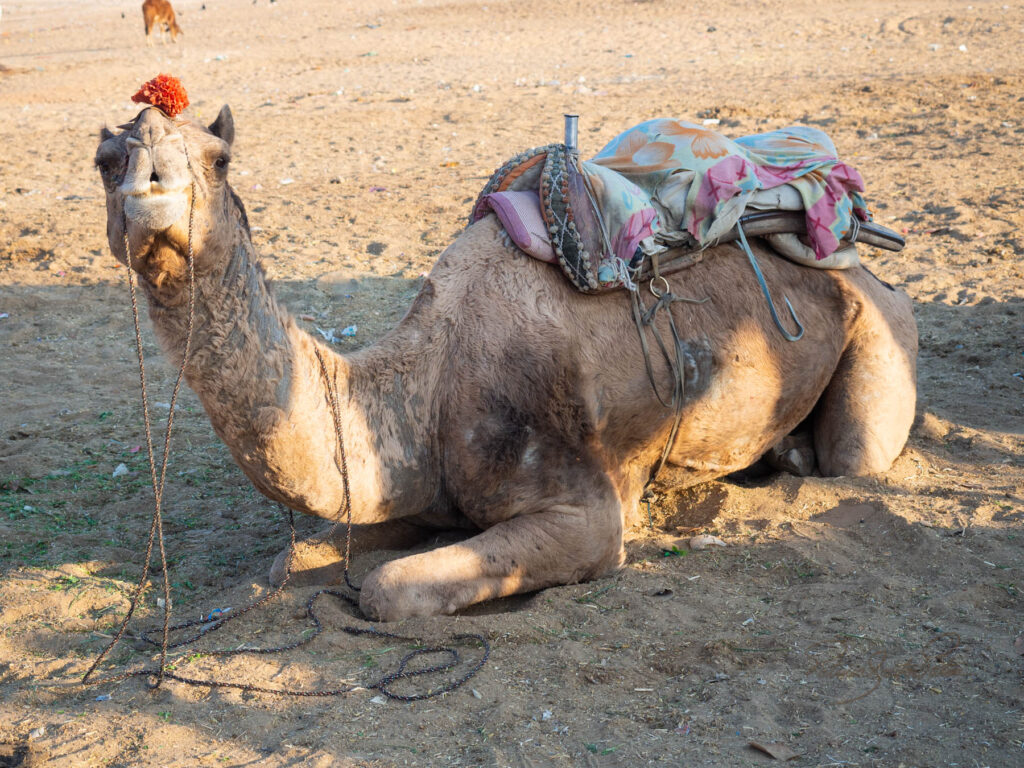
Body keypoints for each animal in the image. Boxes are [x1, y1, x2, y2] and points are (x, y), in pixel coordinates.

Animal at [92, 105, 917, 622]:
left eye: (220, 158)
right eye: (104, 160)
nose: (151, 188)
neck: (423, 388)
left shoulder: (586, 508)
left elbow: (385, 588)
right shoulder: (414, 490)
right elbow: (288, 562)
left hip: (880, 337)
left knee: (857, 454)